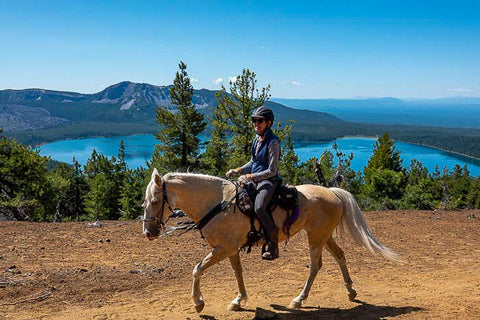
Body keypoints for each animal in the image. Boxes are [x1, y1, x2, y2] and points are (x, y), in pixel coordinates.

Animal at [142, 170, 398, 312]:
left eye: (155, 201)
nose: (148, 232)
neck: (217, 203)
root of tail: (332, 192)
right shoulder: (231, 249)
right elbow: (238, 273)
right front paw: (239, 300)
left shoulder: (222, 249)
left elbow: (196, 269)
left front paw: (198, 303)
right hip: (324, 235)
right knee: (340, 257)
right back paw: (351, 291)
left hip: (316, 237)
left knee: (316, 266)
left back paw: (299, 299)